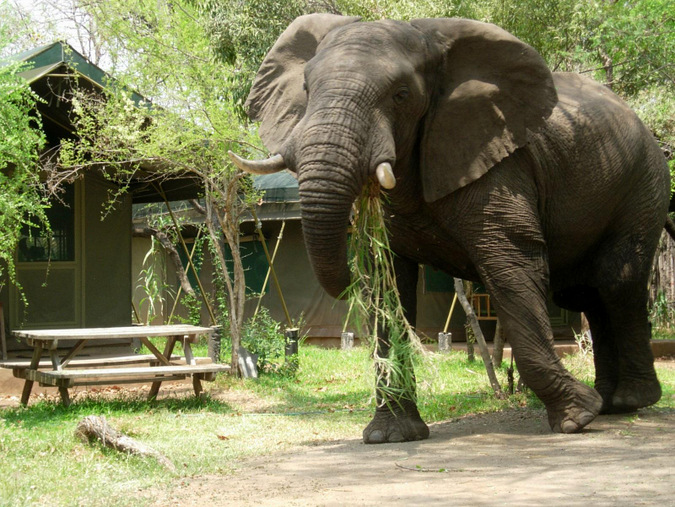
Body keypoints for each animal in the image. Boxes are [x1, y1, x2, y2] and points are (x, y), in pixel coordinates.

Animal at [230, 14, 672, 443]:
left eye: (401, 95)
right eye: (306, 88)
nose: (346, 281)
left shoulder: (498, 165)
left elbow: (511, 266)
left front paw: (576, 419)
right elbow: (389, 285)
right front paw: (390, 437)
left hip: (643, 183)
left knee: (615, 283)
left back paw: (628, 401)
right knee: (587, 295)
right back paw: (612, 402)